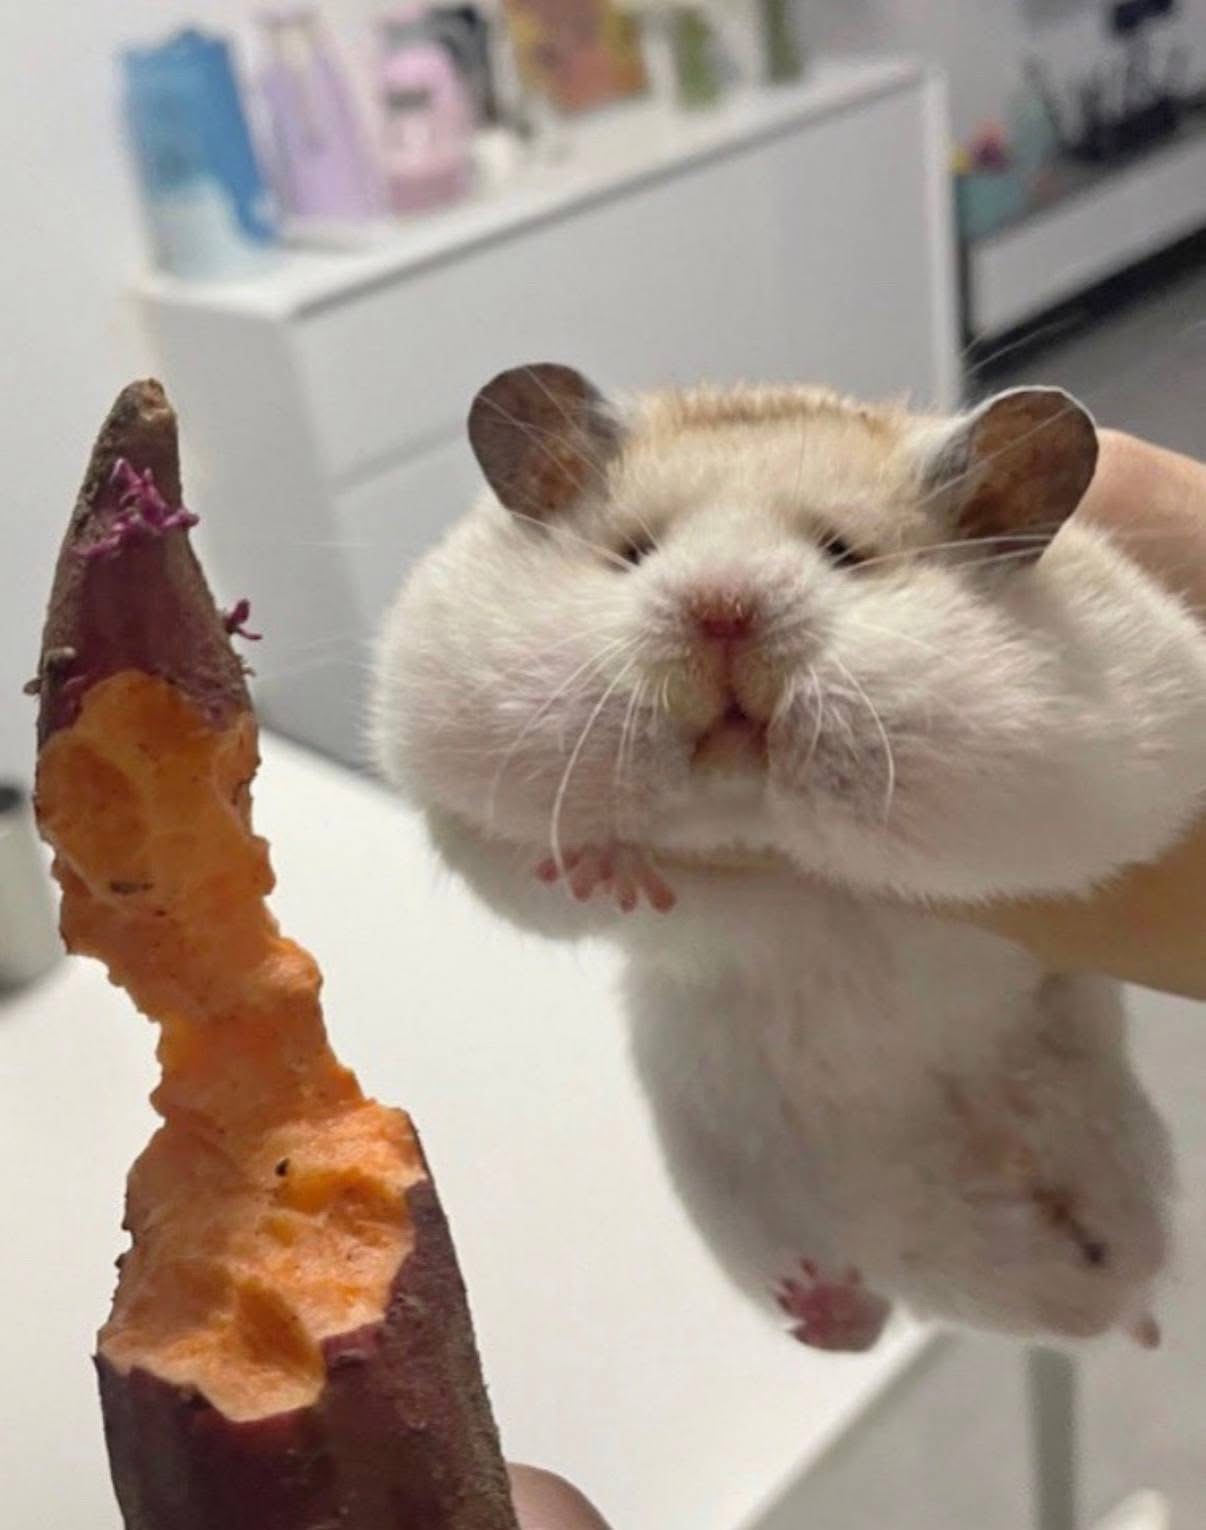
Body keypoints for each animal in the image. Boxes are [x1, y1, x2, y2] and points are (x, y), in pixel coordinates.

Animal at [372, 363, 1206, 1351]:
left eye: (844, 553)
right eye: (634, 552)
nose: (722, 609)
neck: (744, 814)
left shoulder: (1093, 776)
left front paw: (817, 739)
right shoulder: (457, 799)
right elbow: (528, 874)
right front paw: (611, 865)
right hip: (734, 1198)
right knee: (872, 1313)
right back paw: (821, 1300)